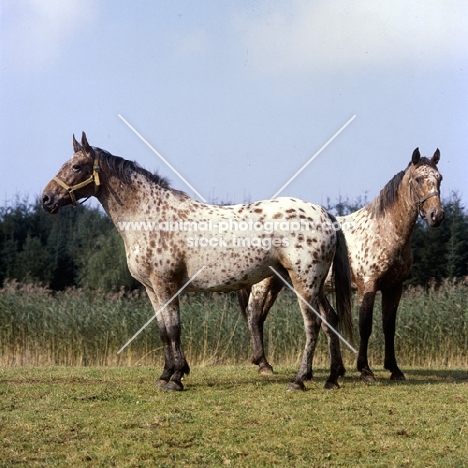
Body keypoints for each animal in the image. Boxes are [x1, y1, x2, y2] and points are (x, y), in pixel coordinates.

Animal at [43, 132, 352, 392]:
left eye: (77, 167)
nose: (46, 199)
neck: (151, 216)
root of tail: (324, 213)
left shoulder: (166, 286)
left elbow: (174, 328)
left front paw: (176, 378)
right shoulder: (152, 290)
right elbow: (163, 331)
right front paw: (165, 374)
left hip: (304, 282)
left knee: (312, 324)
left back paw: (299, 380)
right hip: (308, 283)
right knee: (330, 319)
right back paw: (332, 378)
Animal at [239, 148, 444, 382]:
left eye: (439, 178)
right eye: (418, 179)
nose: (436, 215)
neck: (383, 231)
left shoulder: (394, 287)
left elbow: (389, 327)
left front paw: (394, 369)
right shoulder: (367, 287)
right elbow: (365, 326)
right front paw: (365, 370)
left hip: (279, 283)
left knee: (262, 316)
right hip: (263, 283)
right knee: (254, 314)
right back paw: (263, 364)